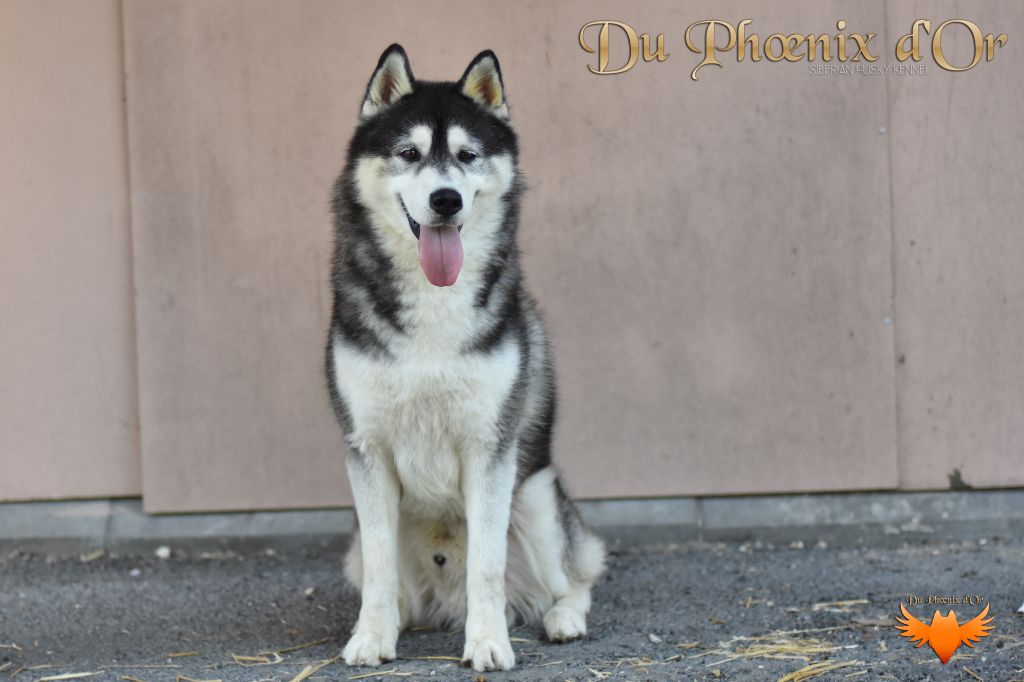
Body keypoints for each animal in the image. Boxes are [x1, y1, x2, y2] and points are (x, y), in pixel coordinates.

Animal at [323, 45, 602, 671]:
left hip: (537, 502)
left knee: (577, 574)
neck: (435, 300)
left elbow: (487, 563)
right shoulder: (365, 449)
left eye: (468, 156)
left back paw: (564, 618)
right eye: (408, 153)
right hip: (354, 543)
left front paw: (489, 642)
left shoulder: (489, 447)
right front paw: (370, 637)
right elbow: (379, 567)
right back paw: (398, 619)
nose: (445, 199)